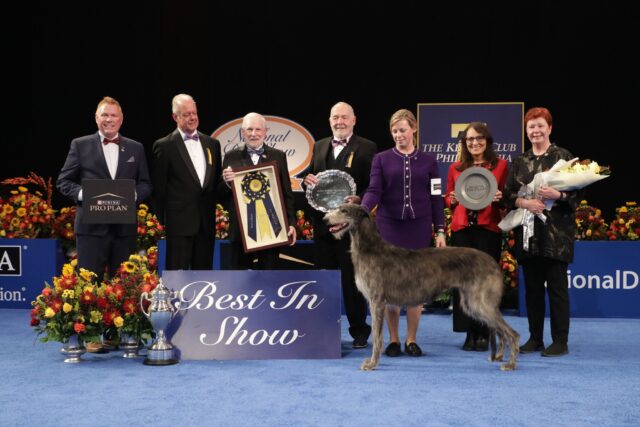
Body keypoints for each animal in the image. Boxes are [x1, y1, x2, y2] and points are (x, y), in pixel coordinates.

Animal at [324, 204, 520, 372]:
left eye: (343, 210)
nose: (325, 219)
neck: (369, 248)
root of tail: (494, 262)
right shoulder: (378, 302)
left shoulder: (376, 301)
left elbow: (377, 336)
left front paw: (372, 364)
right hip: (474, 303)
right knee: (501, 331)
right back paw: (500, 356)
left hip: (480, 302)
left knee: (512, 333)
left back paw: (510, 364)